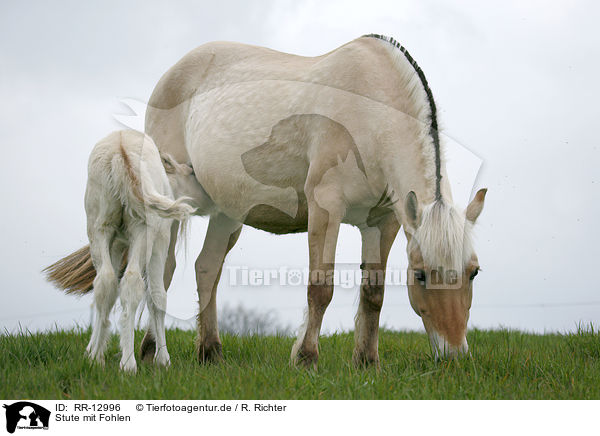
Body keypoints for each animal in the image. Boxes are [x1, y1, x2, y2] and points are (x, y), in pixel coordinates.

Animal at [84, 129, 195, 372]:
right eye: (190, 173)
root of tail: (120, 151)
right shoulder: (161, 238)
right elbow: (157, 295)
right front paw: (163, 359)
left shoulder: (116, 242)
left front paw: (91, 349)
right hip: (144, 227)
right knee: (132, 281)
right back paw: (128, 363)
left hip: (98, 224)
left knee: (105, 281)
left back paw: (96, 357)